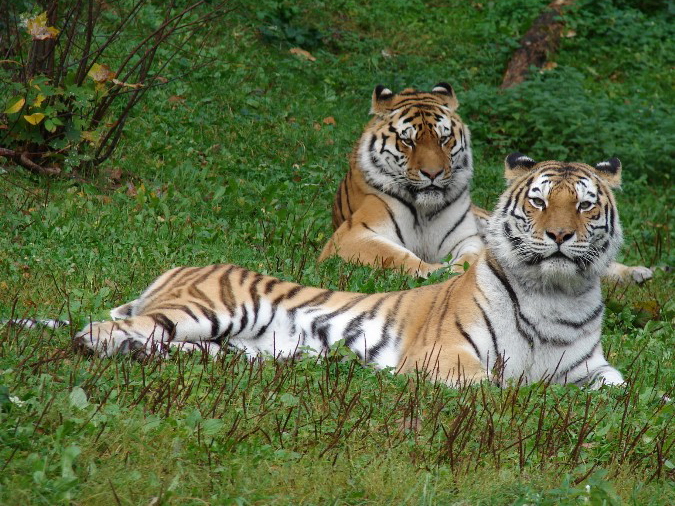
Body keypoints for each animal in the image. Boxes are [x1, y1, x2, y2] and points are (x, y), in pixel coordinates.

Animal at [70, 154, 630, 389]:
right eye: (538, 201)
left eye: (583, 205)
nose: (559, 236)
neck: (554, 294)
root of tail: (177, 267)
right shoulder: (445, 355)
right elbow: (497, 388)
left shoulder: (591, 368)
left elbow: (619, 387)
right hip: (211, 308)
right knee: (101, 329)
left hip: (226, 346)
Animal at [319, 83, 652, 284]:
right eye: (408, 141)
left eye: (443, 139)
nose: (432, 173)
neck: (424, 210)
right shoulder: (353, 235)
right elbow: (396, 256)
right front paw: (435, 272)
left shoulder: (465, 237)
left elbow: (470, 255)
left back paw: (640, 273)